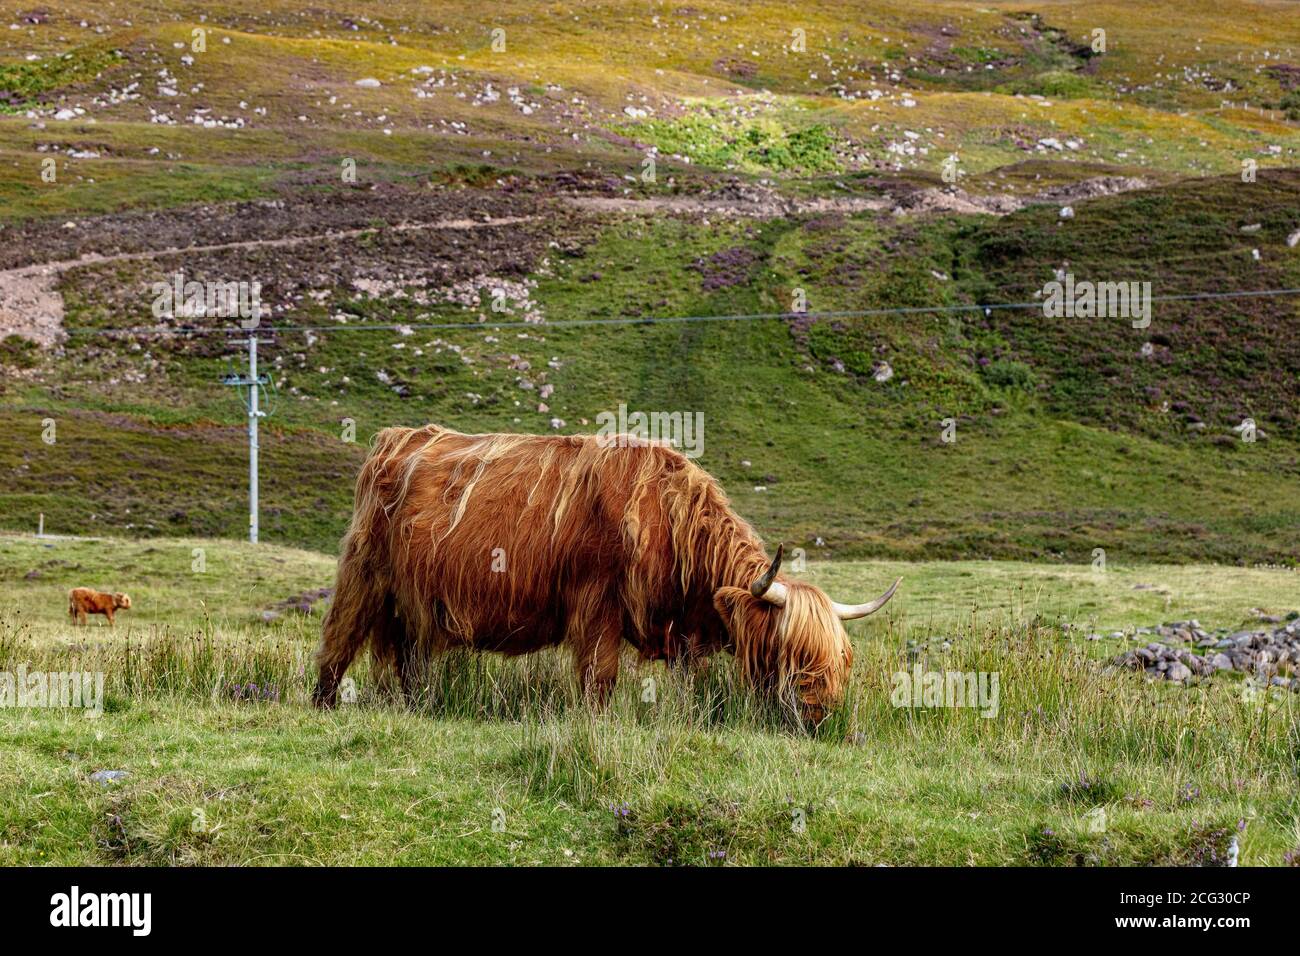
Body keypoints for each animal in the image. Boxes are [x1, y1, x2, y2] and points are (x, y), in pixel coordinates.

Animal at [314, 426, 899, 721]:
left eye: (840, 658)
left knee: (409, 658)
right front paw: (594, 725)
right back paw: (324, 705)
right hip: (365, 574)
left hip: (412, 602)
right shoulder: (597, 604)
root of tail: (400, 436)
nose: (820, 715)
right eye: (790, 651)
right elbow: (600, 678)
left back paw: (416, 708)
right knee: (339, 640)